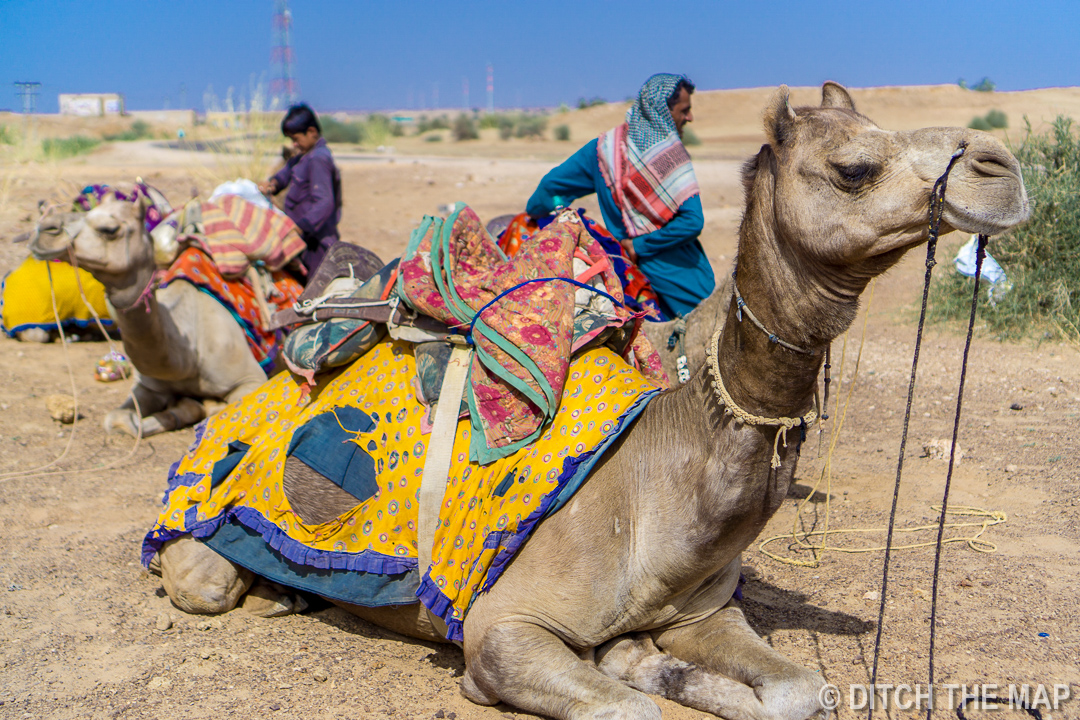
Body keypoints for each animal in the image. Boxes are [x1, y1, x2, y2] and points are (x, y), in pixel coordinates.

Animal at [152, 85, 1028, 720]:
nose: (1001, 166)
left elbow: (798, 690)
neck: (659, 475)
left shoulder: (700, 612)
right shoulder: (503, 627)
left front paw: (642, 660)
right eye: (854, 166)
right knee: (201, 577)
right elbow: (621, 708)